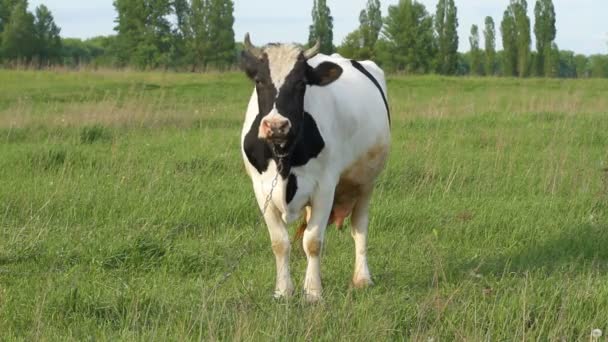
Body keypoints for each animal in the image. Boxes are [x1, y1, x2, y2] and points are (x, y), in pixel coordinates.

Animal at [238, 34, 390, 302]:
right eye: (259, 80)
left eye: (301, 83)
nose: (276, 126)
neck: (284, 158)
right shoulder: (261, 188)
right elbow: (280, 242)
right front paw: (283, 291)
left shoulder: (325, 187)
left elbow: (313, 241)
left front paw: (313, 292)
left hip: (366, 182)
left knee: (359, 228)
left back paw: (362, 277)